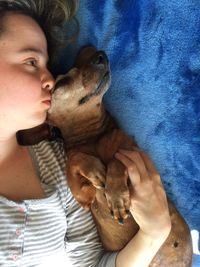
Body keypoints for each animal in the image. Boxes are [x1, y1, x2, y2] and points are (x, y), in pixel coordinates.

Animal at [19, 47, 192, 266]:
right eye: (61, 83)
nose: (100, 55)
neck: (93, 137)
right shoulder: (84, 198)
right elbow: (72, 161)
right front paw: (95, 169)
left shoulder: (131, 151)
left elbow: (115, 161)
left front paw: (116, 195)